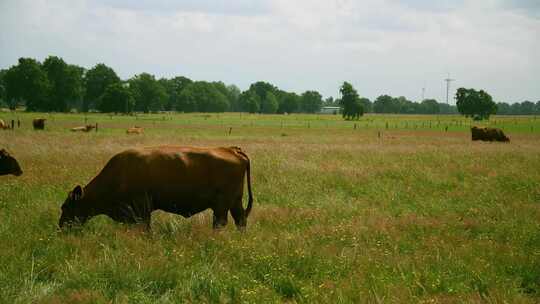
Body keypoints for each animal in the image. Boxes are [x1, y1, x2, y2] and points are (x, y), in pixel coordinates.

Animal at [60, 147, 254, 230]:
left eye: (66, 206)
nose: (61, 226)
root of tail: (232, 150)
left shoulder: (142, 209)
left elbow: (145, 227)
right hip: (234, 202)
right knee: (240, 220)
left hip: (222, 205)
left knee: (221, 222)